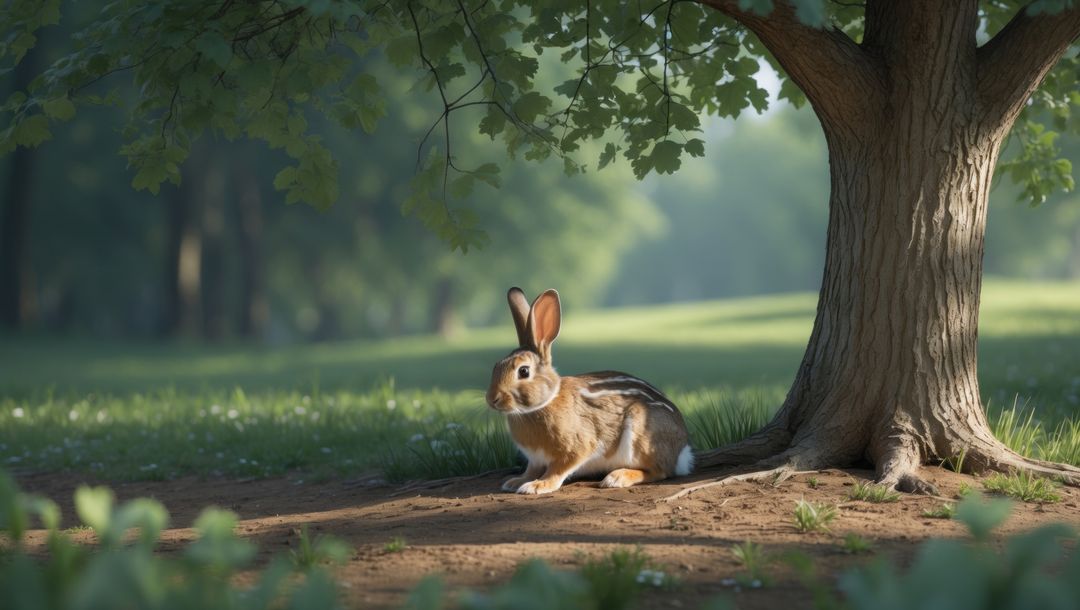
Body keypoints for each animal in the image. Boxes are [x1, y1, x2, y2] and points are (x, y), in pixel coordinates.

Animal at [485, 287, 693, 494]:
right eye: (495, 366)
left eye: (524, 371)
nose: (492, 399)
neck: (545, 402)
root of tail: (682, 452)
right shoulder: (535, 459)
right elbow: (531, 470)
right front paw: (515, 482)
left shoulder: (577, 447)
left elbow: (557, 470)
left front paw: (537, 486)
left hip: (641, 434)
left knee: (659, 471)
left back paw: (616, 478)